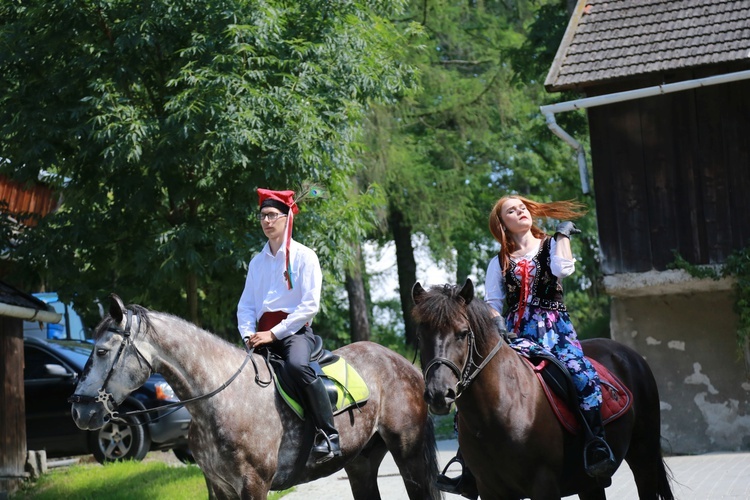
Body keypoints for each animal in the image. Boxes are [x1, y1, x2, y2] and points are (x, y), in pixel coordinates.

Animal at [70, 294, 440, 498]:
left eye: (101, 351)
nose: (79, 411)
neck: (220, 401)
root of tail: (403, 364)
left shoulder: (253, 485)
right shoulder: (218, 487)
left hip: (409, 456)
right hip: (361, 462)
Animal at [412, 282, 676, 500]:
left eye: (463, 333)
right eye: (420, 335)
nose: (439, 393)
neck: (500, 408)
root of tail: (630, 355)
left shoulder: (544, 485)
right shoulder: (490, 490)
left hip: (643, 456)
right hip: (590, 483)